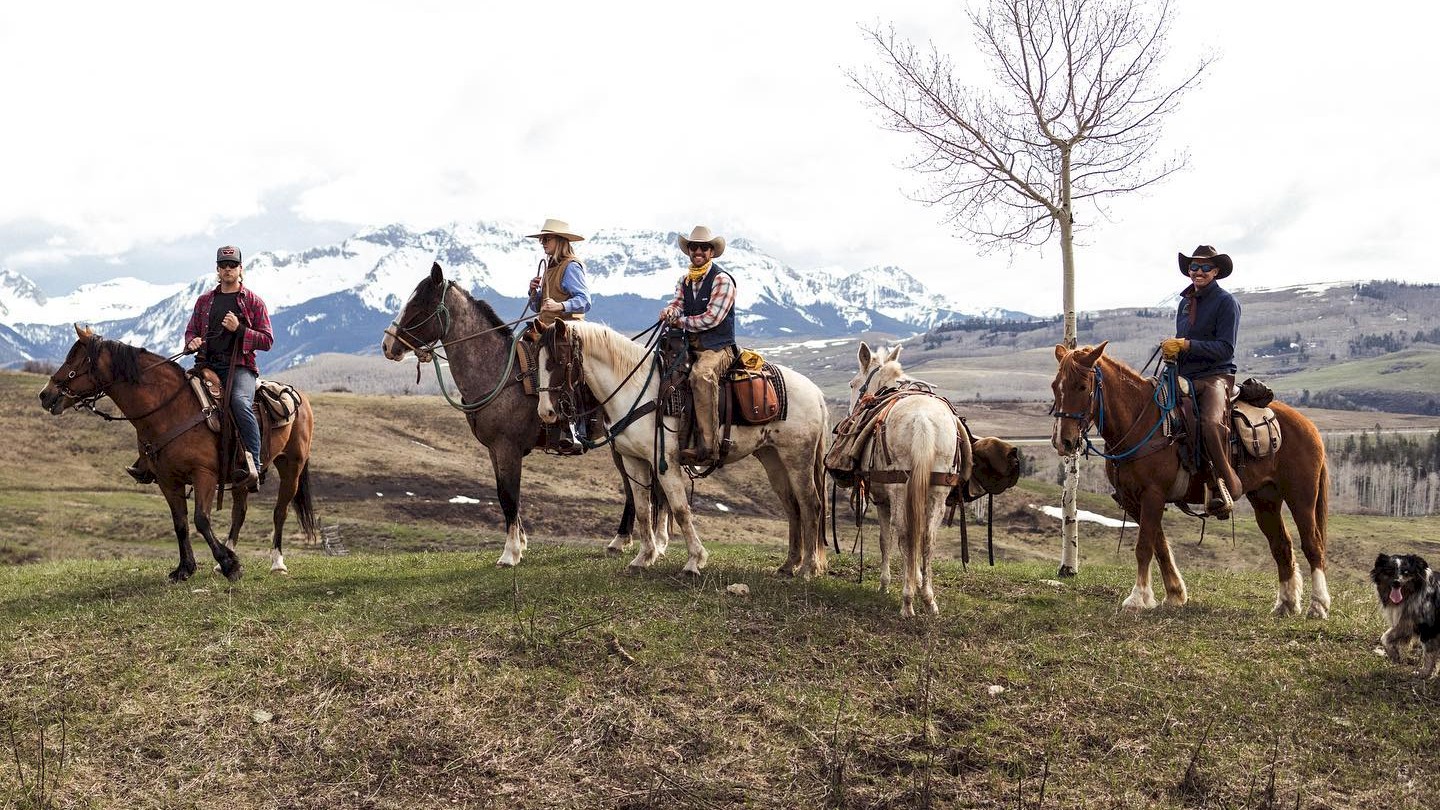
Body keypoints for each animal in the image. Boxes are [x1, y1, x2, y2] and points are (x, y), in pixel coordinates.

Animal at [39, 322, 318, 579]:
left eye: (74, 359)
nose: (45, 394)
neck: (169, 410)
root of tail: (300, 397)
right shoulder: (167, 479)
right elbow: (180, 523)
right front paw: (186, 568)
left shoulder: (203, 474)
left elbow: (201, 519)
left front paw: (230, 565)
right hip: (243, 476)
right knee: (239, 512)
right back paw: (228, 554)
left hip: (292, 466)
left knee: (280, 511)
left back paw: (276, 562)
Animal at [535, 318, 829, 576]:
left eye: (558, 360)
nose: (546, 413)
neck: (635, 389)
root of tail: (816, 392)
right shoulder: (632, 460)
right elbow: (643, 509)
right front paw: (643, 558)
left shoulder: (664, 461)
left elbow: (680, 509)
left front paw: (694, 561)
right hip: (772, 458)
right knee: (792, 506)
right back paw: (789, 565)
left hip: (798, 457)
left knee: (810, 504)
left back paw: (808, 568)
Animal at [846, 338, 973, 611]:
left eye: (852, 384)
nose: (851, 413)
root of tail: (922, 419)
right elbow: (919, 536)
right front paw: (918, 579)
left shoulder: (881, 499)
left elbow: (886, 539)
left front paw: (885, 584)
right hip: (937, 488)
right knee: (928, 537)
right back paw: (928, 599)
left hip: (897, 488)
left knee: (904, 533)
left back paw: (907, 601)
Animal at [1054, 341, 1330, 616]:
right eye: (1056, 386)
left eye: (1082, 386)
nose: (1062, 441)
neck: (1141, 423)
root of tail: (1308, 425)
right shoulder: (1134, 500)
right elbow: (1160, 546)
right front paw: (1174, 594)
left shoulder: (1152, 495)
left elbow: (1144, 547)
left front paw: (1137, 598)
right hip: (1265, 500)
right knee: (1281, 545)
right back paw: (1286, 604)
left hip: (1301, 498)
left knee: (1312, 544)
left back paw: (1318, 605)